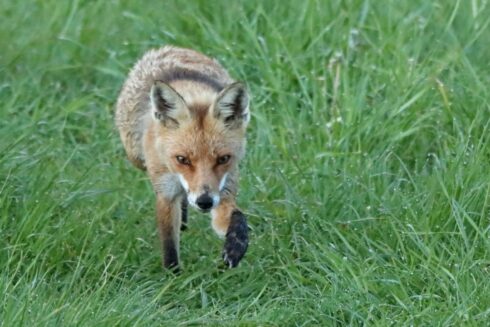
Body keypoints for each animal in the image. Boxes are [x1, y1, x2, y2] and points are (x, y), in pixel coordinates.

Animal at [116, 46, 249, 272]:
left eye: (223, 159)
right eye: (182, 159)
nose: (204, 202)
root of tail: (169, 48)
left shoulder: (224, 190)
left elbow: (237, 217)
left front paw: (236, 246)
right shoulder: (166, 193)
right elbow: (169, 245)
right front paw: (173, 277)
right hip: (135, 156)